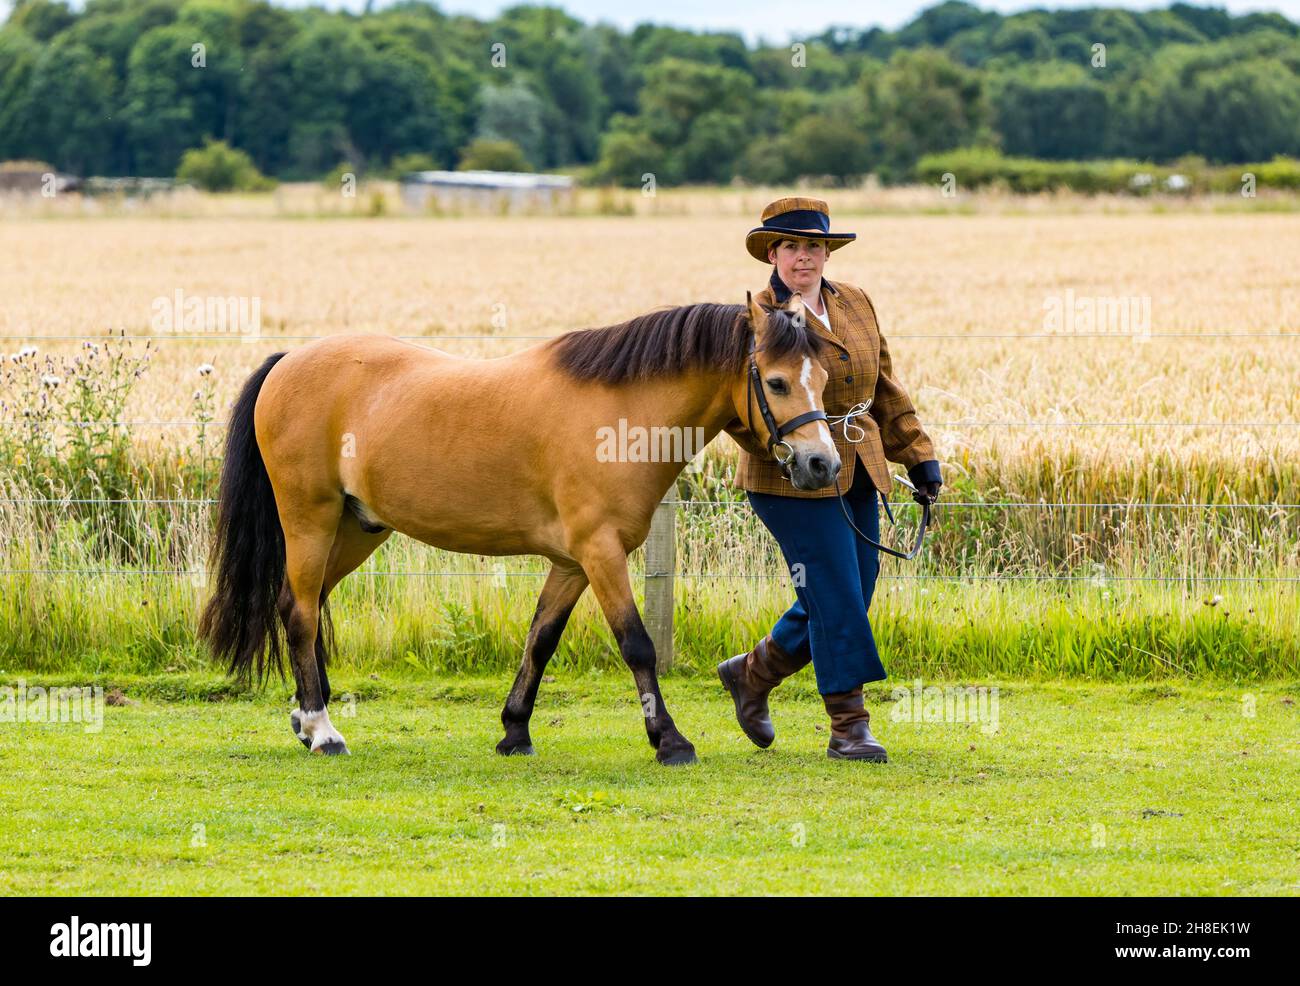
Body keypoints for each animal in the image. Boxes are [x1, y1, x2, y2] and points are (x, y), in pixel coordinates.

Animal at [197, 291, 837, 764]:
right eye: (777, 382)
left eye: (825, 380)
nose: (822, 464)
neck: (621, 413)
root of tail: (288, 362)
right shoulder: (601, 553)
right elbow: (637, 644)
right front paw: (670, 741)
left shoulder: (572, 563)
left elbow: (541, 640)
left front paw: (514, 731)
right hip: (310, 518)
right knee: (302, 614)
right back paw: (325, 731)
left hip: (355, 530)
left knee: (299, 605)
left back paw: (306, 719)